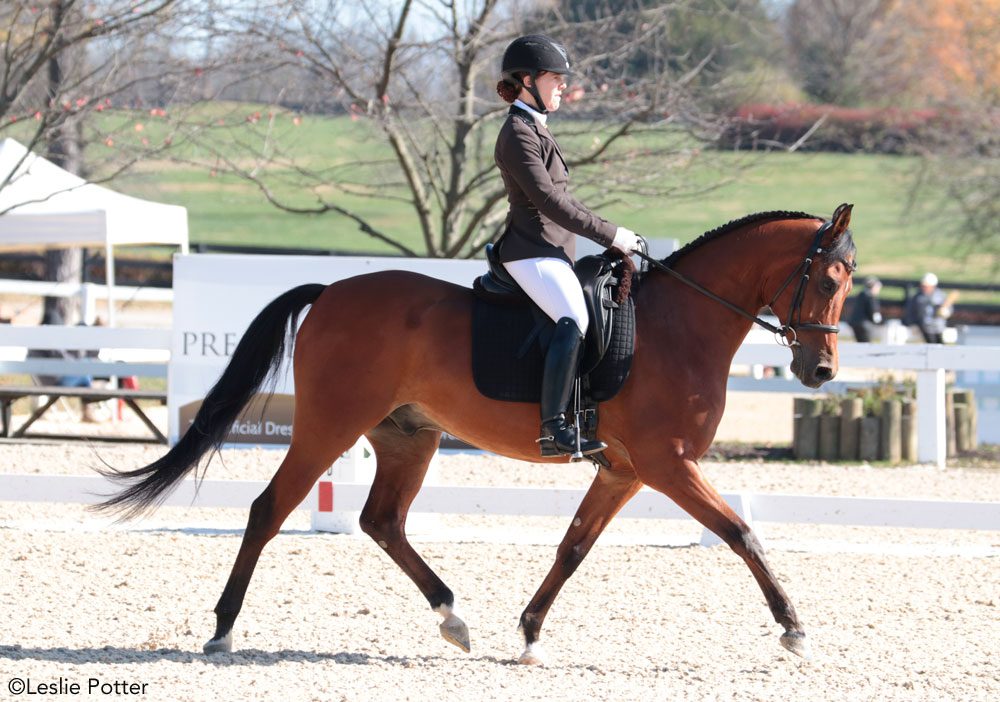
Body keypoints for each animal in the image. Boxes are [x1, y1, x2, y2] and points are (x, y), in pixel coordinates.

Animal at [97, 202, 856, 664]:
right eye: (826, 279)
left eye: (848, 282)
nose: (819, 370)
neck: (678, 326)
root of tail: (331, 291)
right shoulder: (667, 465)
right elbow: (741, 533)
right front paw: (794, 628)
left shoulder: (624, 470)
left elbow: (573, 547)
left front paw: (528, 635)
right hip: (330, 425)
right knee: (269, 510)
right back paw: (223, 630)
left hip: (408, 436)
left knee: (383, 521)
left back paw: (452, 618)